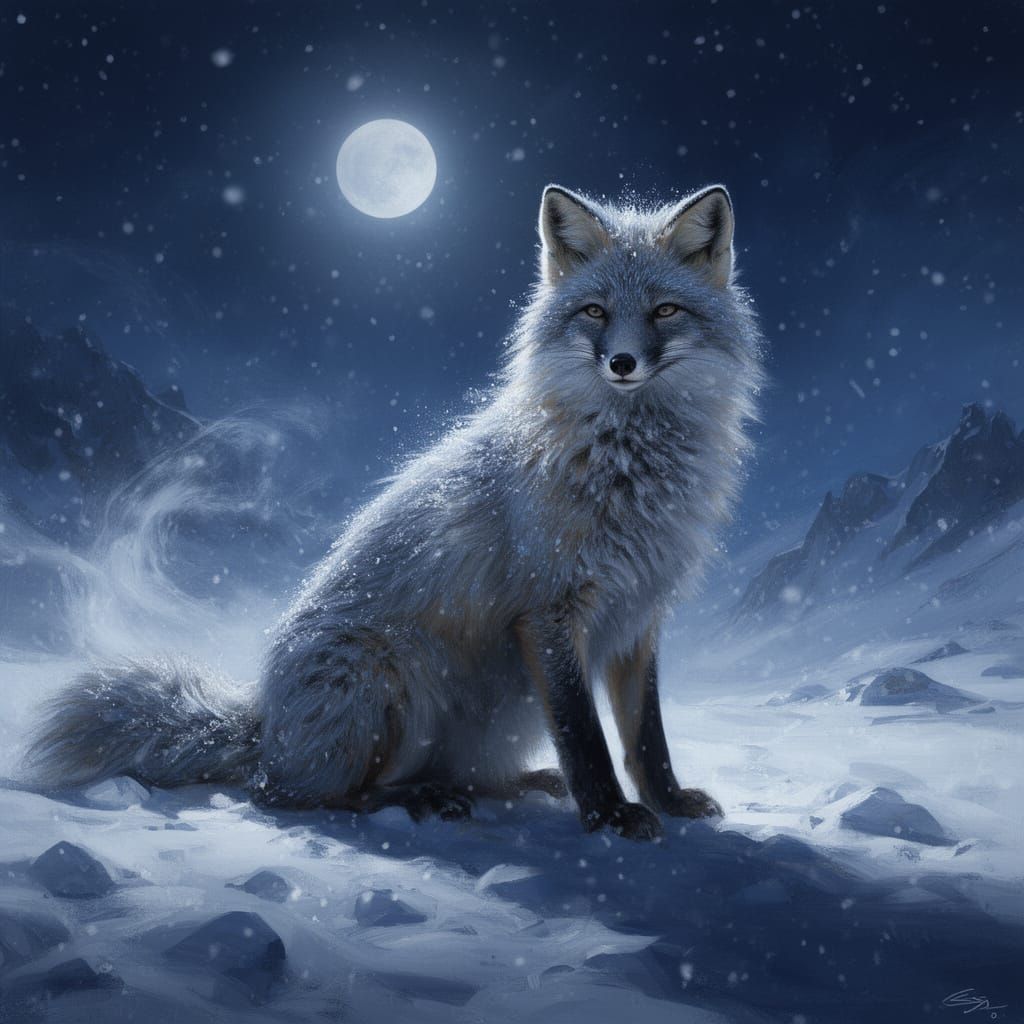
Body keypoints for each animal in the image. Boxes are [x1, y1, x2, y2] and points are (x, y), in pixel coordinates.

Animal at [27, 183, 764, 842]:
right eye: (593, 311)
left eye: (665, 311)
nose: (622, 362)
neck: (627, 465)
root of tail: (265, 726)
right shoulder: (550, 611)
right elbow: (586, 738)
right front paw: (608, 818)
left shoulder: (639, 616)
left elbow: (645, 738)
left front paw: (667, 803)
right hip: (394, 679)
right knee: (295, 796)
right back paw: (419, 798)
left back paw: (511, 785)